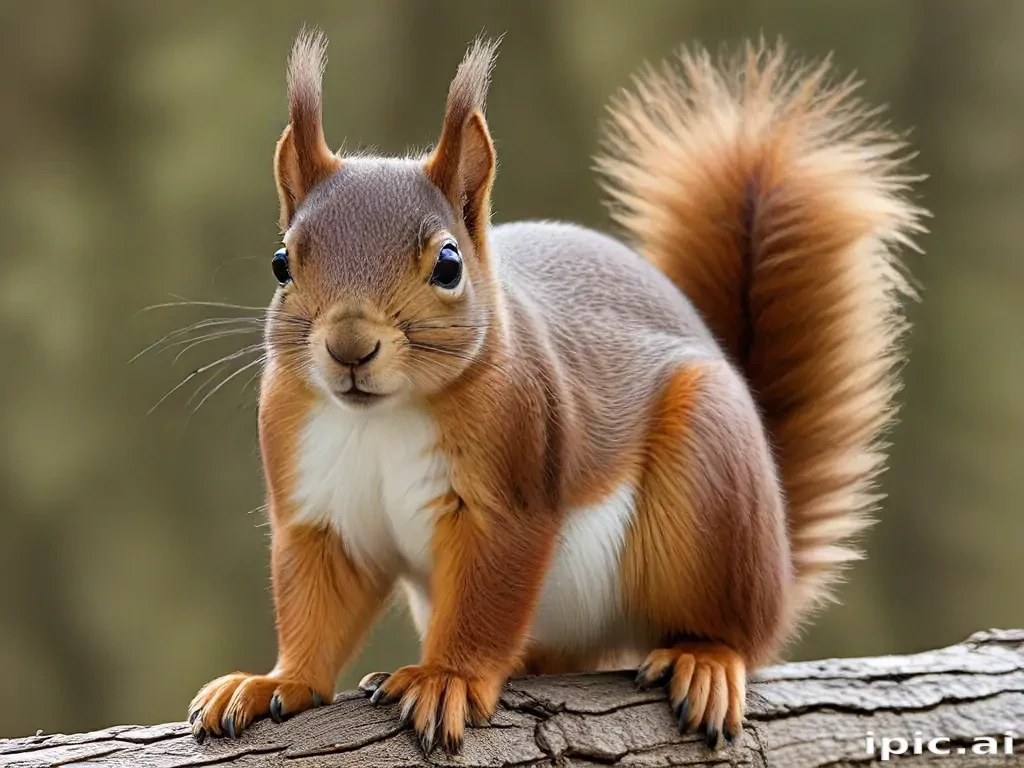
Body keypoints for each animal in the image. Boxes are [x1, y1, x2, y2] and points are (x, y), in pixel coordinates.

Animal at [187, 29, 924, 754]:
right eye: (281, 262)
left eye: (449, 265)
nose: (348, 347)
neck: (381, 418)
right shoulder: (317, 505)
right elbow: (315, 606)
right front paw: (274, 682)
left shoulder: (514, 481)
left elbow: (487, 598)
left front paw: (448, 679)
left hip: (712, 490)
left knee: (737, 629)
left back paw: (706, 660)